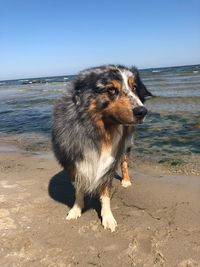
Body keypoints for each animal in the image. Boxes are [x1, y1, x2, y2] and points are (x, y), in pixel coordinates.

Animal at [51, 64, 152, 232]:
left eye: (134, 88)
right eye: (111, 90)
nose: (142, 111)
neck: (100, 132)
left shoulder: (108, 164)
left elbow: (105, 193)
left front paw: (108, 218)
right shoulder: (75, 160)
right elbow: (79, 188)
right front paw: (76, 209)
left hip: (126, 146)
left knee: (124, 163)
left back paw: (126, 180)